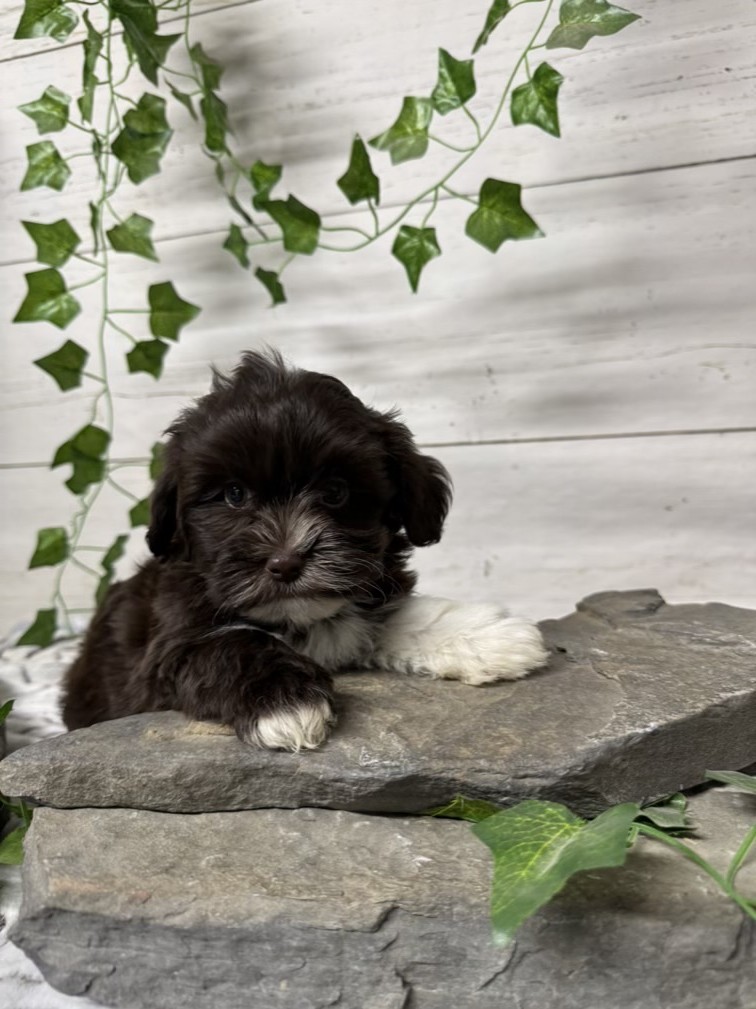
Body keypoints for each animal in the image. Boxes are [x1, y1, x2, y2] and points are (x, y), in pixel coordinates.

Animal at [62, 351, 548, 751]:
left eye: (335, 492)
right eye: (234, 495)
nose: (287, 562)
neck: (299, 620)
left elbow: (393, 614)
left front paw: (488, 636)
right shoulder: (167, 651)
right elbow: (233, 643)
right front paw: (285, 702)